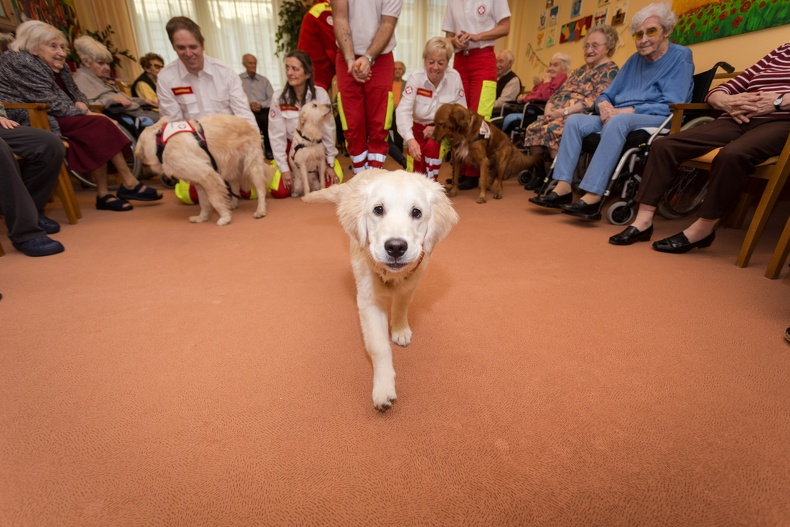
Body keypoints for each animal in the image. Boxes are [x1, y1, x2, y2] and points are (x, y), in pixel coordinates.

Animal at [136, 114, 272, 225]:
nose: (139, 159)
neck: (160, 143)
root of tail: (250, 125)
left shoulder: (207, 175)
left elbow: (214, 199)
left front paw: (225, 217)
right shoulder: (199, 181)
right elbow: (203, 202)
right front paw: (202, 217)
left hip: (251, 166)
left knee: (261, 189)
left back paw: (260, 210)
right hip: (229, 167)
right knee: (235, 186)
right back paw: (233, 203)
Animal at [304, 171, 464, 410]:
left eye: (416, 212)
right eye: (378, 209)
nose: (396, 247)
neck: (391, 275)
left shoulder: (411, 282)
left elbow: (400, 307)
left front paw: (399, 329)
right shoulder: (369, 301)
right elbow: (379, 346)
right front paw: (384, 387)